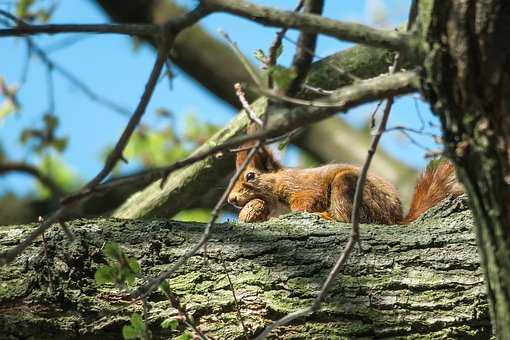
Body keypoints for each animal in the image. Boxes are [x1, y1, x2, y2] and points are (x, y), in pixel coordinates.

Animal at [227, 130, 462, 223]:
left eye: (250, 175)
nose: (231, 199)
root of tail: (395, 219)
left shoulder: (302, 188)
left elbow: (306, 201)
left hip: (347, 185)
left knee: (348, 218)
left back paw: (326, 215)